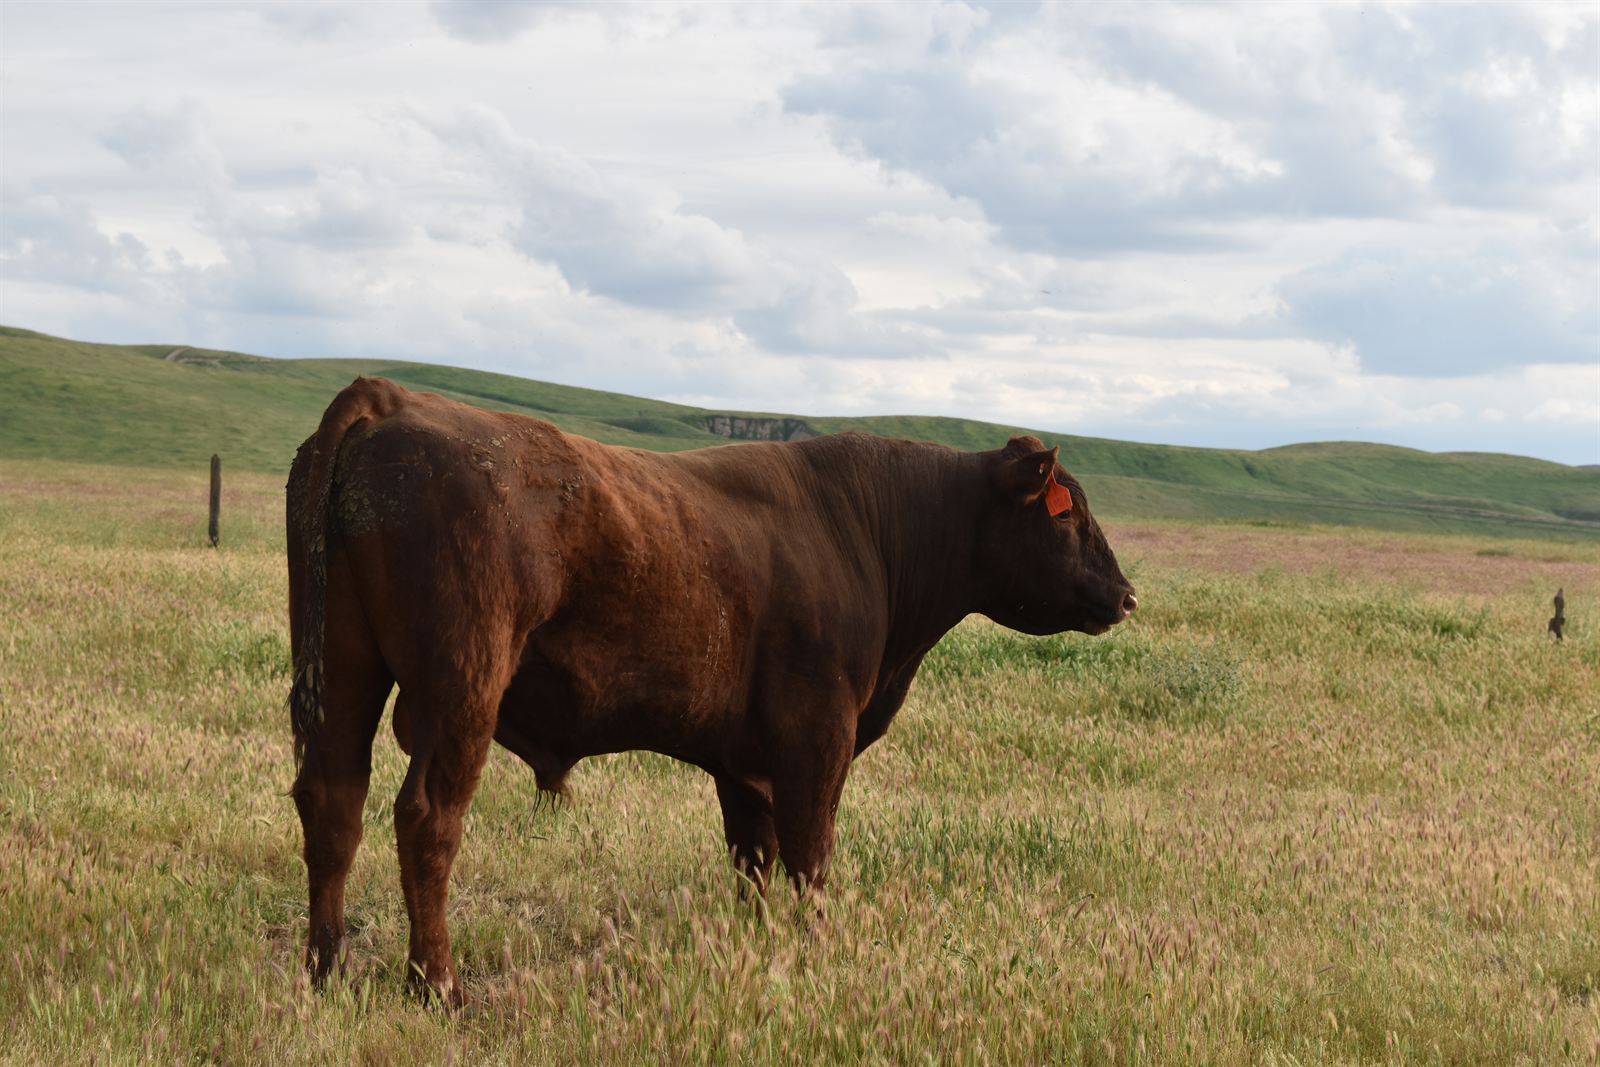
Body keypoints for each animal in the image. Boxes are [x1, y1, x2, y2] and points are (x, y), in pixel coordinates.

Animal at [287, 377, 1137, 1007]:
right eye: (1068, 513)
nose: (1127, 595)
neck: (867, 530)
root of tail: (389, 398)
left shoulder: (743, 761)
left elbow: (753, 858)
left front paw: (757, 948)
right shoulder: (817, 736)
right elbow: (809, 854)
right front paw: (815, 952)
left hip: (347, 674)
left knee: (333, 802)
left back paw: (327, 971)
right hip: (462, 686)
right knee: (427, 818)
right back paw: (438, 985)